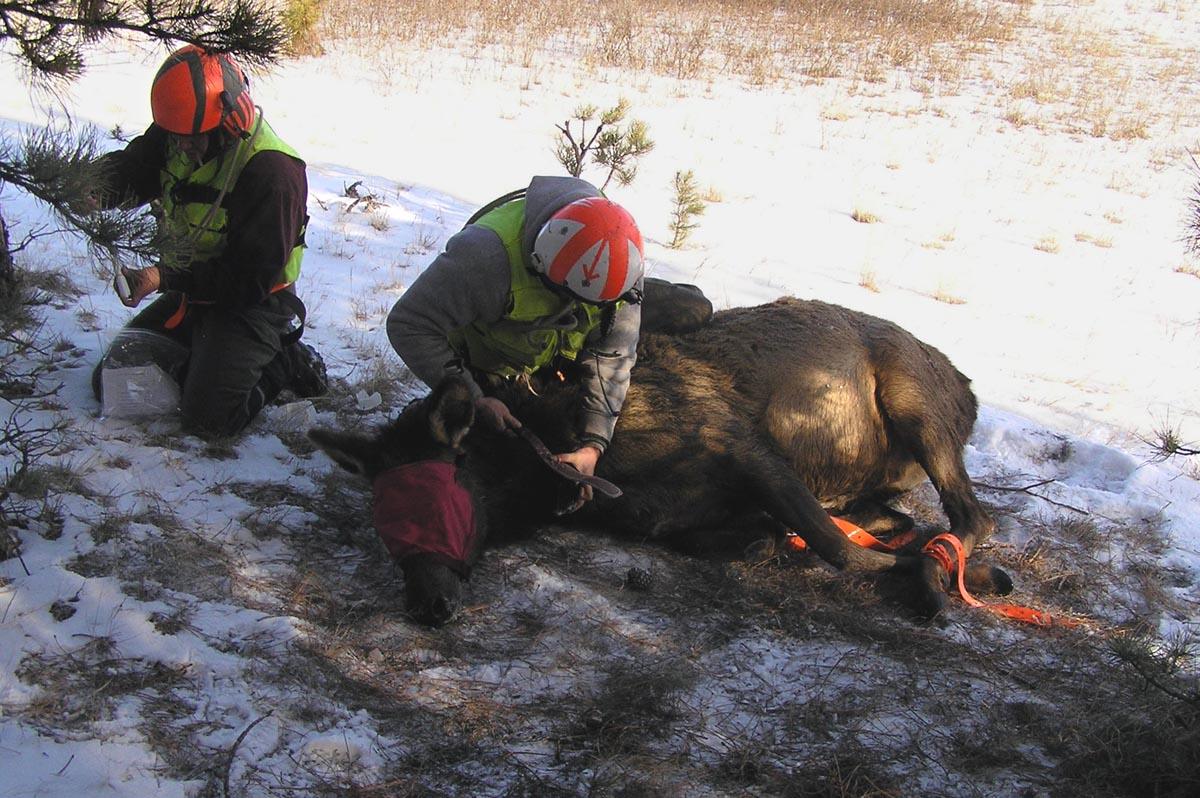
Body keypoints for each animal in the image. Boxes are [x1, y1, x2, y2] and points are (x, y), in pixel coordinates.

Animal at [309, 295, 1003, 624]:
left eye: (438, 496)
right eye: (384, 522)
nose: (425, 604)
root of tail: (968, 385)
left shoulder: (743, 444)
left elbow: (838, 551)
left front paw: (934, 578)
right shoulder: (677, 518)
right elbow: (773, 540)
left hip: (916, 403)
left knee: (971, 516)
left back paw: (944, 574)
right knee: (904, 519)